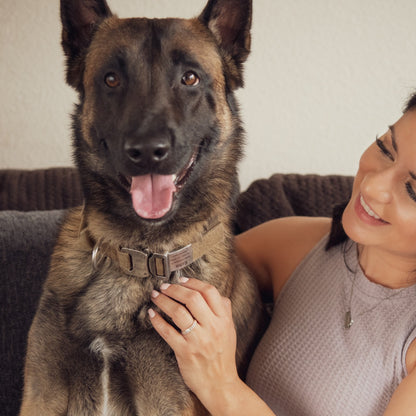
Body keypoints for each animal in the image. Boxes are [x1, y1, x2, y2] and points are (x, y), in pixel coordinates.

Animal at [19, 1, 264, 414]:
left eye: (190, 78)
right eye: (111, 79)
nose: (148, 151)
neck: (139, 253)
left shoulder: (166, 402)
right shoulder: (41, 394)